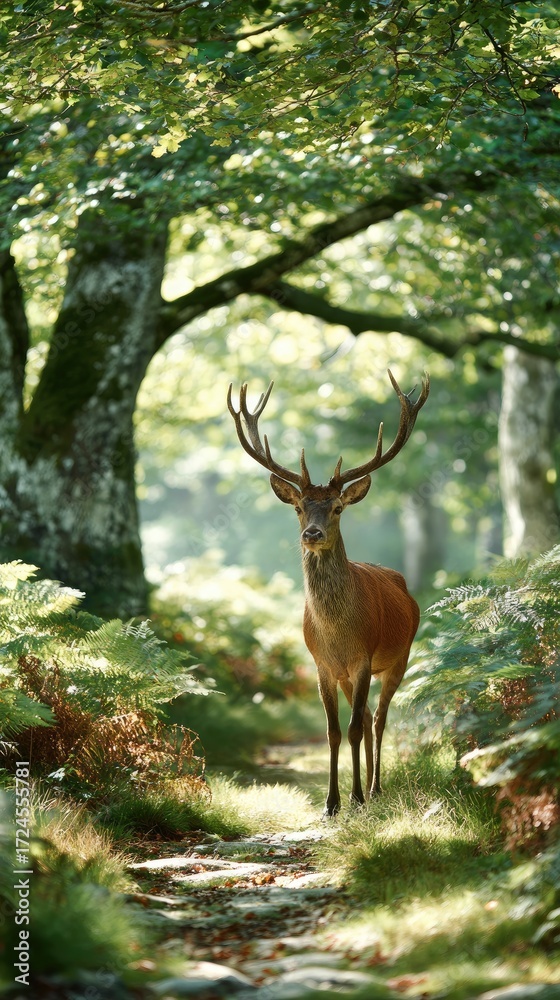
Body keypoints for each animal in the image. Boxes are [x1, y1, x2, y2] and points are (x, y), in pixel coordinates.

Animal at [227, 370, 430, 817]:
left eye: (337, 508)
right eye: (299, 507)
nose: (312, 534)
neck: (337, 632)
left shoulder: (363, 658)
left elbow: (352, 729)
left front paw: (353, 797)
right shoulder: (321, 664)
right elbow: (334, 731)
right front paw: (331, 803)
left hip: (400, 656)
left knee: (378, 719)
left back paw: (374, 788)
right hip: (350, 674)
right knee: (367, 717)